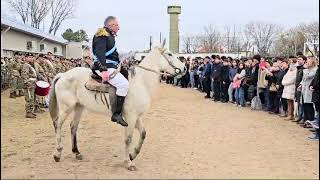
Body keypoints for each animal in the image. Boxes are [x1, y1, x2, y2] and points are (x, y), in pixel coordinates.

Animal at [48, 41, 186, 171]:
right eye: (169, 54)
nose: (184, 68)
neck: (141, 82)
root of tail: (63, 75)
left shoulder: (136, 117)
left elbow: (143, 134)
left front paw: (132, 155)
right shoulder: (131, 117)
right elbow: (128, 139)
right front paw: (128, 162)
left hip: (79, 107)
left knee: (73, 127)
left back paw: (76, 152)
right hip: (66, 108)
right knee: (58, 125)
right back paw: (57, 153)